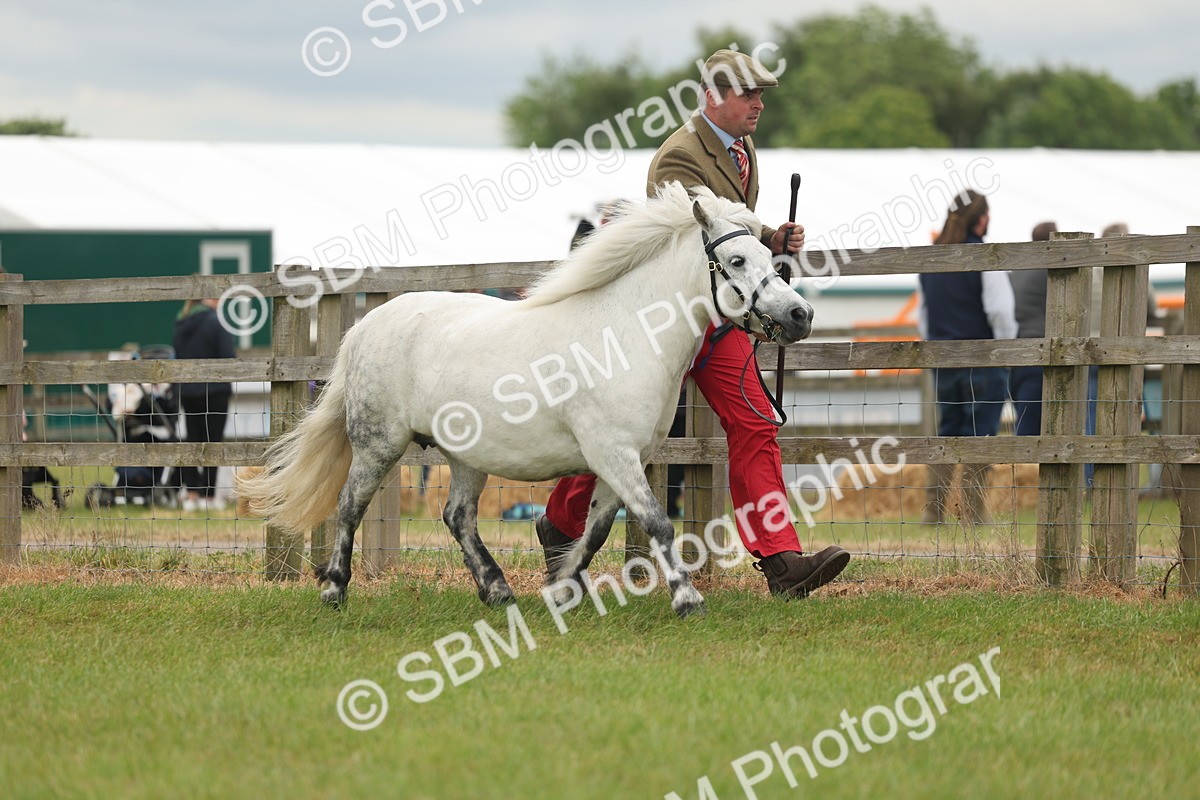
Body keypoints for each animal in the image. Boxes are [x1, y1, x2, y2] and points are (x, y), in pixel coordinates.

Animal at [237, 182, 814, 617]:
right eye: (736, 259)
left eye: (771, 256)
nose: (799, 315)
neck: (625, 334)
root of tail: (364, 327)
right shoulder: (615, 455)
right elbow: (656, 523)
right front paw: (687, 599)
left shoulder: (624, 460)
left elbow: (597, 530)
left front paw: (561, 589)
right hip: (379, 445)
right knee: (350, 506)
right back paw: (335, 589)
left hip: (465, 456)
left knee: (458, 517)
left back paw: (497, 590)